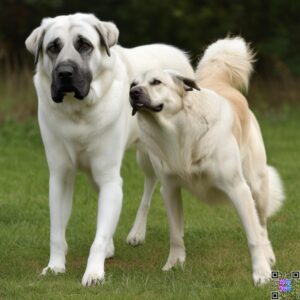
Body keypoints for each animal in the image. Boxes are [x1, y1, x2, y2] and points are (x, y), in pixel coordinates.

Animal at [25, 13, 195, 286]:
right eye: (53, 47)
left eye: (84, 44)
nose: (65, 73)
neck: (78, 113)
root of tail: (177, 52)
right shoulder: (60, 177)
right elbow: (57, 231)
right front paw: (55, 266)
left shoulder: (109, 178)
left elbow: (100, 233)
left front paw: (94, 273)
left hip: (153, 158)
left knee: (150, 187)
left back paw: (138, 234)